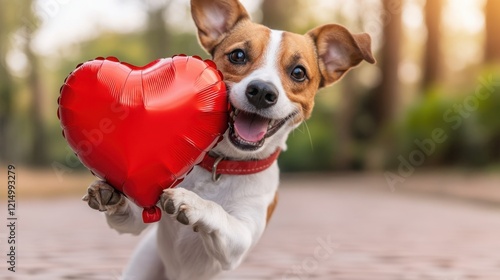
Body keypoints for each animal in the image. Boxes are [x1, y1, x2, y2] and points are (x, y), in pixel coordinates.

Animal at [83, 1, 372, 278]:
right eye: (238, 55)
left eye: (298, 72)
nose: (262, 91)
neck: (223, 164)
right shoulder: (136, 221)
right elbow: (129, 217)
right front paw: (111, 195)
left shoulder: (241, 239)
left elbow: (217, 212)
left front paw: (194, 202)